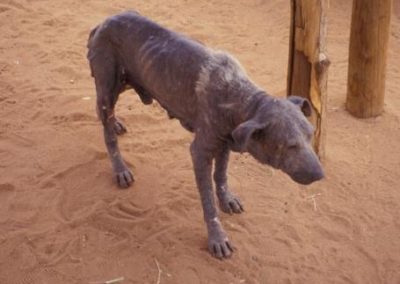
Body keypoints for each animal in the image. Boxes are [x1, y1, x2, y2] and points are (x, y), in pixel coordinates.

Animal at [87, 11, 324, 260]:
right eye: (290, 145)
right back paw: (120, 167)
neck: (238, 96)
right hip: (108, 85)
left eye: (311, 135)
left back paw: (115, 123)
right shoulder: (200, 152)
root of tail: (103, 22)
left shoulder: (226, 142)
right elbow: (208, 200)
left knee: (103, 113)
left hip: (127, 82)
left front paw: (226, 199)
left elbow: (220, 176)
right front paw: (217, 237)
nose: (320, 174)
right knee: (107, 130)